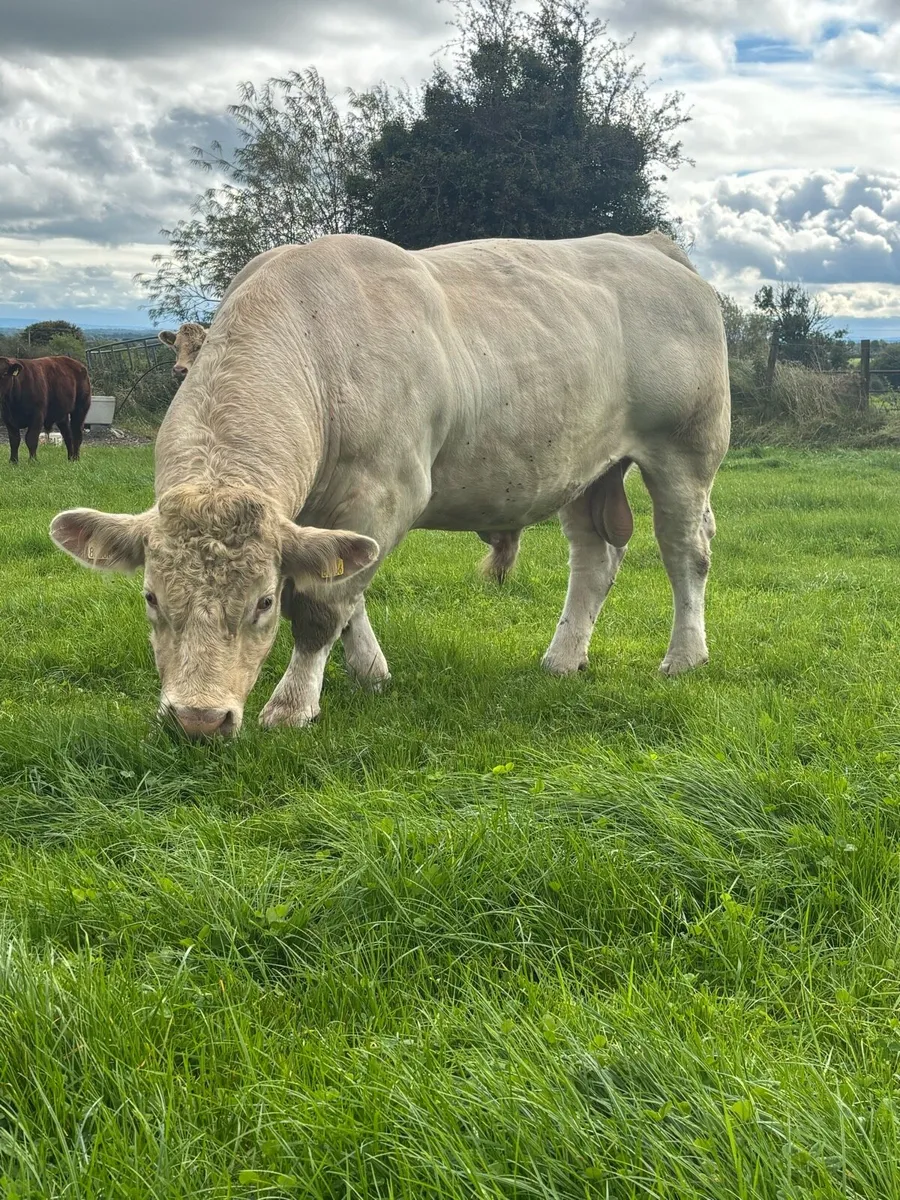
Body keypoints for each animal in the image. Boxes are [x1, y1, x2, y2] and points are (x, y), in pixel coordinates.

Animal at [50, 231, 731, 739]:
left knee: (686, 552)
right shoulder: (322, 521)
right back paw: (563, 660)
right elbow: (348, 593)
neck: (315, 346)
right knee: (595, 559)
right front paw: (370, 672)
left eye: (263, 603)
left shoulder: (385, 492)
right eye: (151, 598)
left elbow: (324, 605)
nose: (197, 719)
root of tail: (650, 245)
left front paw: (293, 705)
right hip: (584, 468)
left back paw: (683, 657)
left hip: (686, 449)